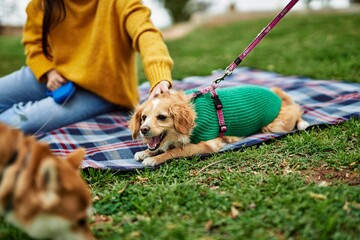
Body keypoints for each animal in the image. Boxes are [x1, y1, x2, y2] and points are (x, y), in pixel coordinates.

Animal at [128, 85, 308, 166]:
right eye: (143, 117)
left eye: (162, 117)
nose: (143, 130)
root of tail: (274, 93)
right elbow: (161, 147)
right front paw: (145, 152)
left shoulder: (207, 144)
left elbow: (175, 151)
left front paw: (154, 158)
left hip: (276, 125)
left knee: (296, 110)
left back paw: (303, 123)